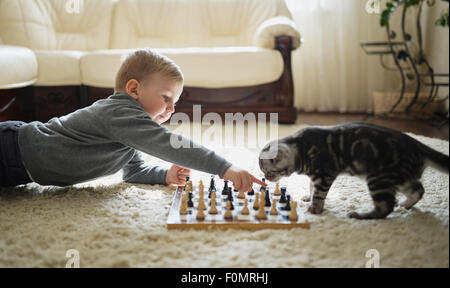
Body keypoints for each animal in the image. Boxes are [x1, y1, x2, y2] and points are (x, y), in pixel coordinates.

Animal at [258, 122, 448, 219]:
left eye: (269, 172)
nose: (266, 178)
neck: (301, 148)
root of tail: (419, 145)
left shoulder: (324, 175)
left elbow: (319, 194)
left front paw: (315, 208)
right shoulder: (316, 176)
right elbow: (312, 188)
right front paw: (308, 197)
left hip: (378, 179)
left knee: (386, 207)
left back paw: (360, 215)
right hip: (400, 178)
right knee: (418, 190)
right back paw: (405, 205)